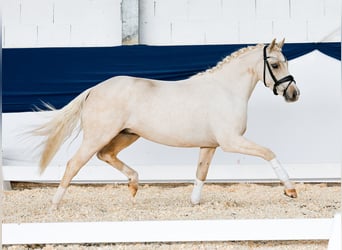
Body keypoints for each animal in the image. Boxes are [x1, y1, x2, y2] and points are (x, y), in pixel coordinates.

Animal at [34, 38, 300, 209]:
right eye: (275, 64)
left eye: (287, 61)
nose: (293, 94)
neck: (226, 90)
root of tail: (94, 89)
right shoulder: (231, 141)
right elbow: (268, 152)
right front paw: (290, 190)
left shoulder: (209, 145)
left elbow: (201, 172)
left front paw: (194, 202)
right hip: (98, 136)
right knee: (74, 164)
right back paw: (55, 205)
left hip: (127, 134)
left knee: (105, 155)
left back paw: (134, 185)